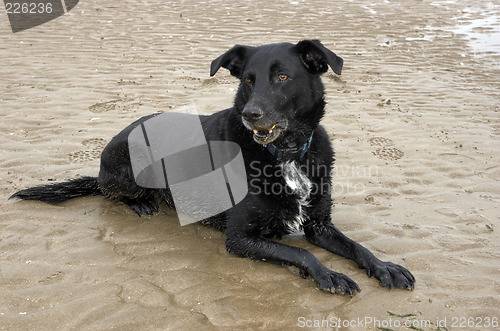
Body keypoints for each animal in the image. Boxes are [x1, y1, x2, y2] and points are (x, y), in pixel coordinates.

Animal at [10, 39, 414, 296]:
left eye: (282, 77)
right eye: (248, 80)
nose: (251, 114)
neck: (283, 154)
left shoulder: (319, 225)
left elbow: (357, 247)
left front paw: (384, 266)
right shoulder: (240, 238)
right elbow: (302, 253)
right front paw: (329, 274)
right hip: (128, 168)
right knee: (110, 192)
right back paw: (141, 202)